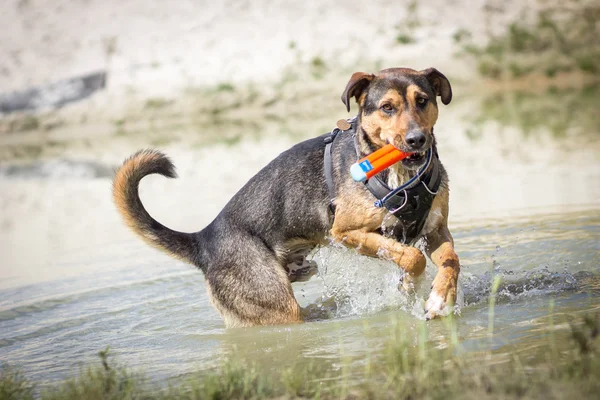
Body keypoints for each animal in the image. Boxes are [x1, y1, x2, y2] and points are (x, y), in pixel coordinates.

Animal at [112, 67, 460, 326]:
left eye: (423, 100)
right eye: (387, 107)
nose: (417, 140)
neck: (402, 178)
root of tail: (203, 239)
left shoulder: (436, 231)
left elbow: (451, 262)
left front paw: (440, 299)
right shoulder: (345, 232)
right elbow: (412, 257)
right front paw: (409, 286)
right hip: (275, 301)